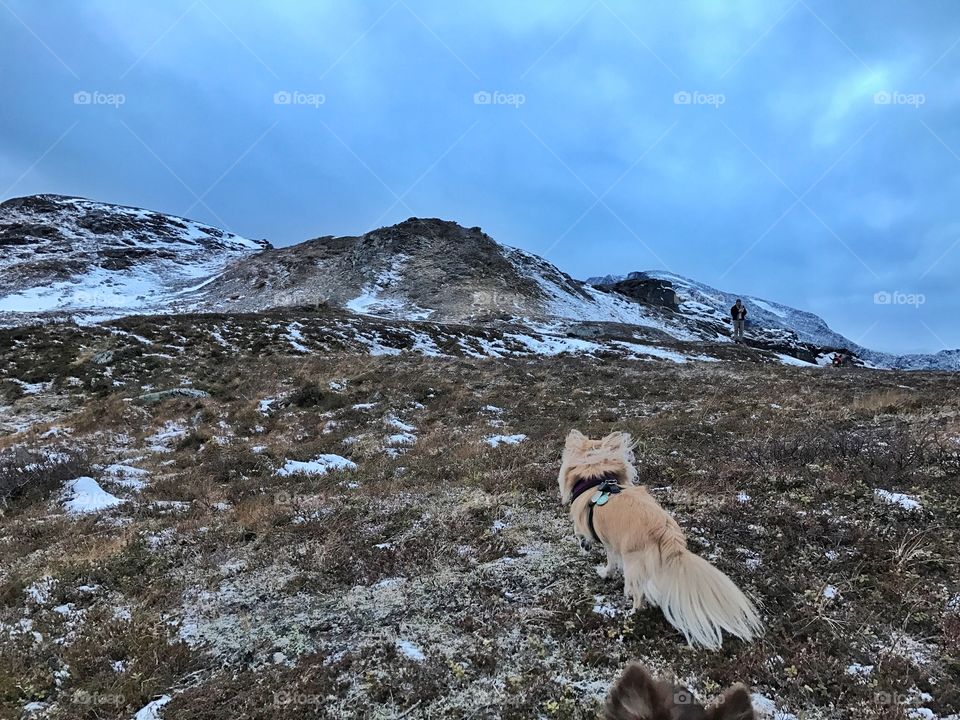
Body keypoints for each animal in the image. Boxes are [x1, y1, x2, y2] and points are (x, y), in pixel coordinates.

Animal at [560, 430, 760, 648]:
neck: (596, 480)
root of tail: (665, 533)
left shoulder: (607, 543)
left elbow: (605, 557)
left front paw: (599, 566)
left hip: (633, 562)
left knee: (638, 595)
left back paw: (631, 613)